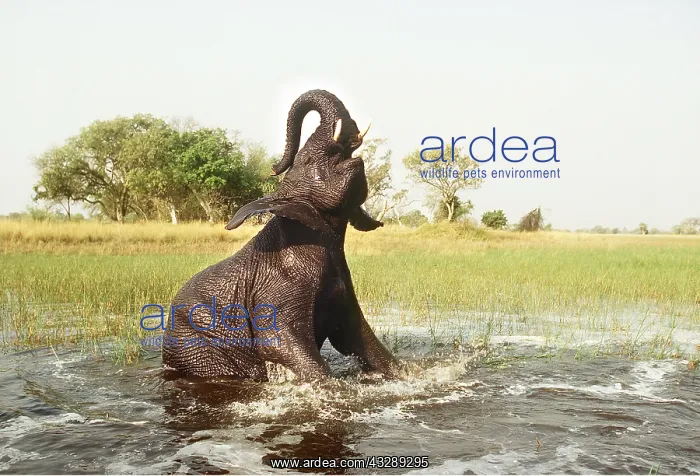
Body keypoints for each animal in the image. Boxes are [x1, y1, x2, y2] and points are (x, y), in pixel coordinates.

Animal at [162, 89, 401, 381]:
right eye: (307, 160)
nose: (274, 167)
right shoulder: (274, 286)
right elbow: (279, 342)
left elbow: (358, 338)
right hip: (199, 349)